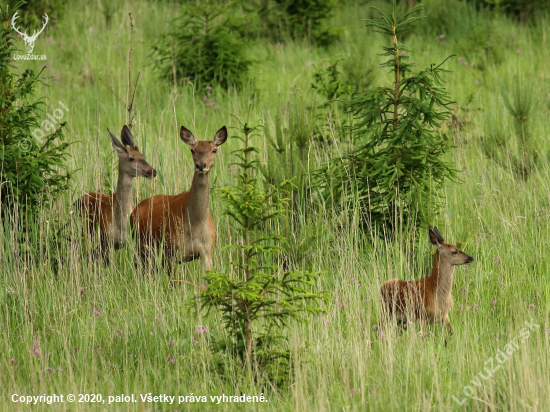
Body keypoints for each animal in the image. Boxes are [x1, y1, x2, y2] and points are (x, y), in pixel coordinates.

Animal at [73, 125, 157, 262]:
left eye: (143, 156)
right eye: (131, 158)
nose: (153, 171)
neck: (120, 223)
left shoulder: (130, 242)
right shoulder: (107, 241)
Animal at [130, 125, 229, 274]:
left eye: (214, 150)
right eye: (192, 150)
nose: (201, 165)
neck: (195, 225)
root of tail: (134, 210)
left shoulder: (207, 251)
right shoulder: (172, 252)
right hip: (140, 245)